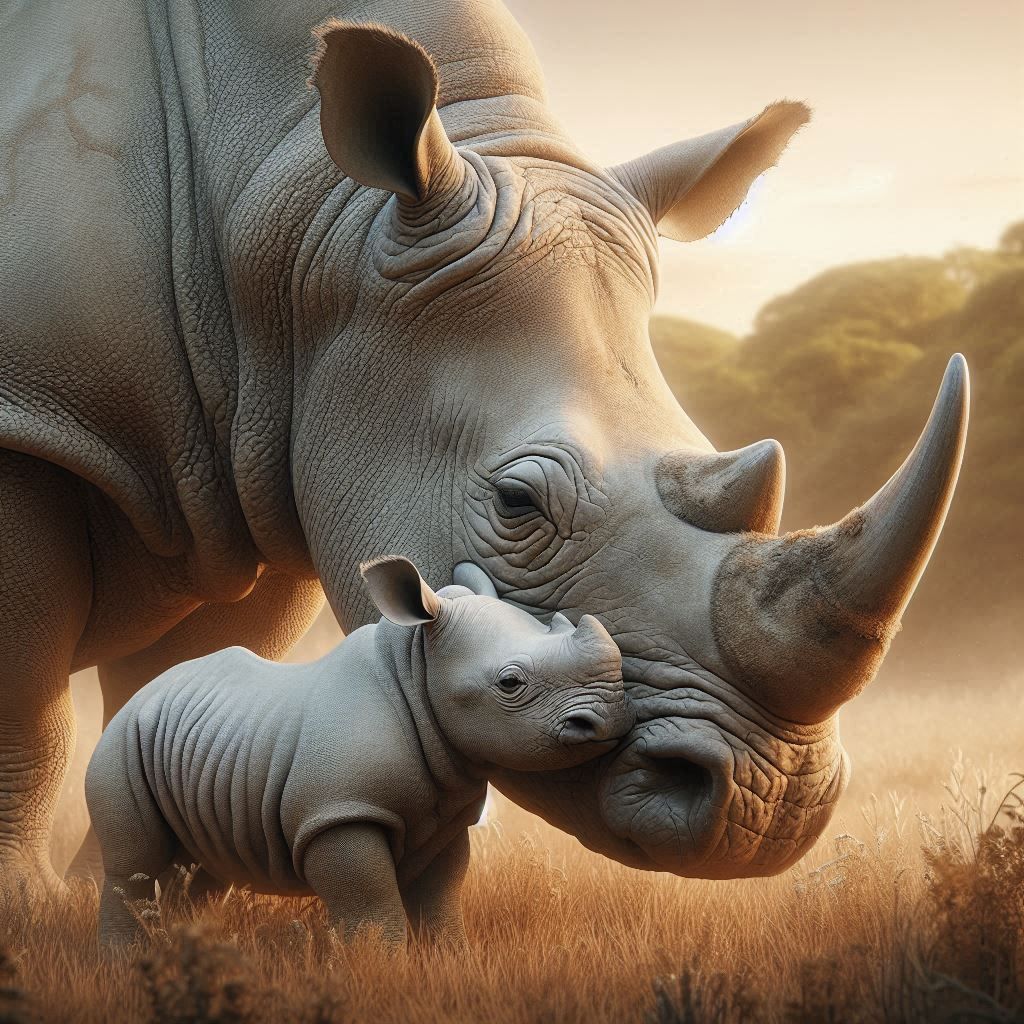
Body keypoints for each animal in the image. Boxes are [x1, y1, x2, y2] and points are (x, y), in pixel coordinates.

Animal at [0, 0, 967, 897]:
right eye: (516, 504)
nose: (771, 808)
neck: (297, 226)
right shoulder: (31, 416)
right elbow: (28, 707)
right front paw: (38, 912)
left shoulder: (257, 463)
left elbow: (192, 675)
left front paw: (164, 894)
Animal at [87, 555, 631, 946]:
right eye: (511, 683)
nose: (608, 718)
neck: (417, 669)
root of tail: (144, 693)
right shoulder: (339, 812)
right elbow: (371, 909)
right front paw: (380, 973)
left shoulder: (446, 813)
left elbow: (441, 900)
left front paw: (449, 959)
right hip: (122, 739)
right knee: (132, 865)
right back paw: (123, 963)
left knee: (207, 867)